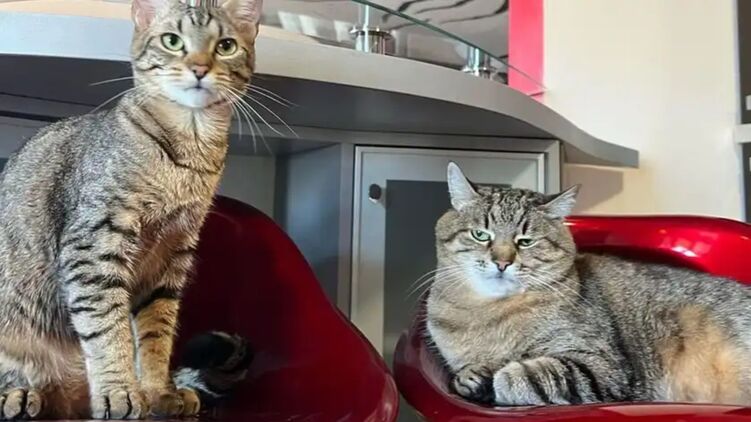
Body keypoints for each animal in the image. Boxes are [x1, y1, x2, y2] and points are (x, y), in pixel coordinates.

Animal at [0, 0, 261, 419]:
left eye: (226, 46)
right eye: (172, 41)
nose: (200, 67)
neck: (190, 155)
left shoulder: (171, 258)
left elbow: (156, 336)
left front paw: (157, 391)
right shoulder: (94, 246)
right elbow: (109, 330)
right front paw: (119, 390)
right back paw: (19, 394)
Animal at [427, 162, 751, 407]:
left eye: (526, 241)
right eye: (481, 235)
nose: (502, 262)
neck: (488, 316)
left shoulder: (603, 367)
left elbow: (527, 375)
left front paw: (497, 377)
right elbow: (469, 373)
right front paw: (475, 378)